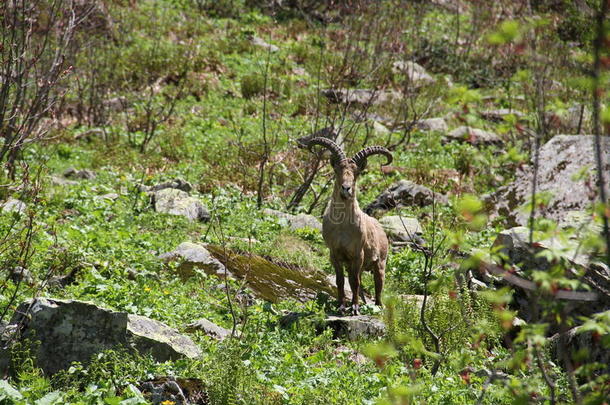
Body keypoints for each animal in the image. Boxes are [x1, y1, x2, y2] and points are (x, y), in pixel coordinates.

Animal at [302, 137, 390, 314]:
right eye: (337, 170)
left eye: (356, 173)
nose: (346, 188)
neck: (342, 226)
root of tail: (381, 229)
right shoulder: (335, 254)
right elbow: (340, 281)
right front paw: (342, 306)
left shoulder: (357, 254)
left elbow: (354, 282)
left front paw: (355, 308)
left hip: (380, 263)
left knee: (378, 286)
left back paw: (377, 306)